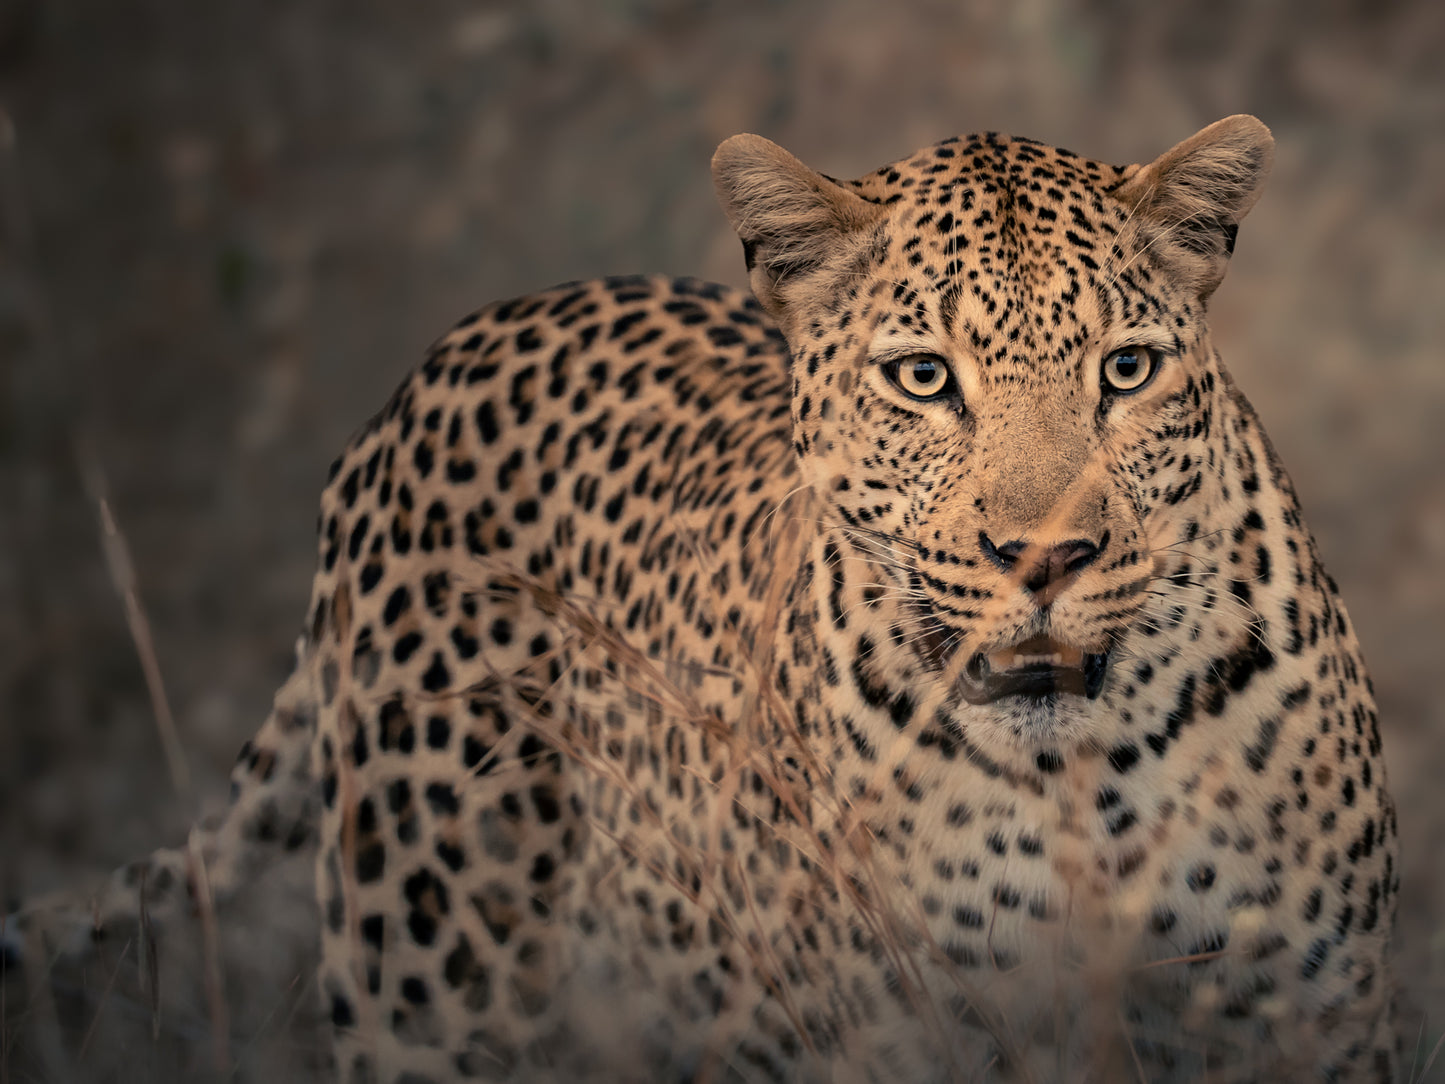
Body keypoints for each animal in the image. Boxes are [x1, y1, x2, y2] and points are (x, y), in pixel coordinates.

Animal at [3, 115, 1398, 1083]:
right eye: (922, 377)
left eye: (1125, 369)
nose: (1041, 554)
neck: (1082, 785)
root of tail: (437, 361)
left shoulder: (1313, 1024)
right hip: (428, 973)